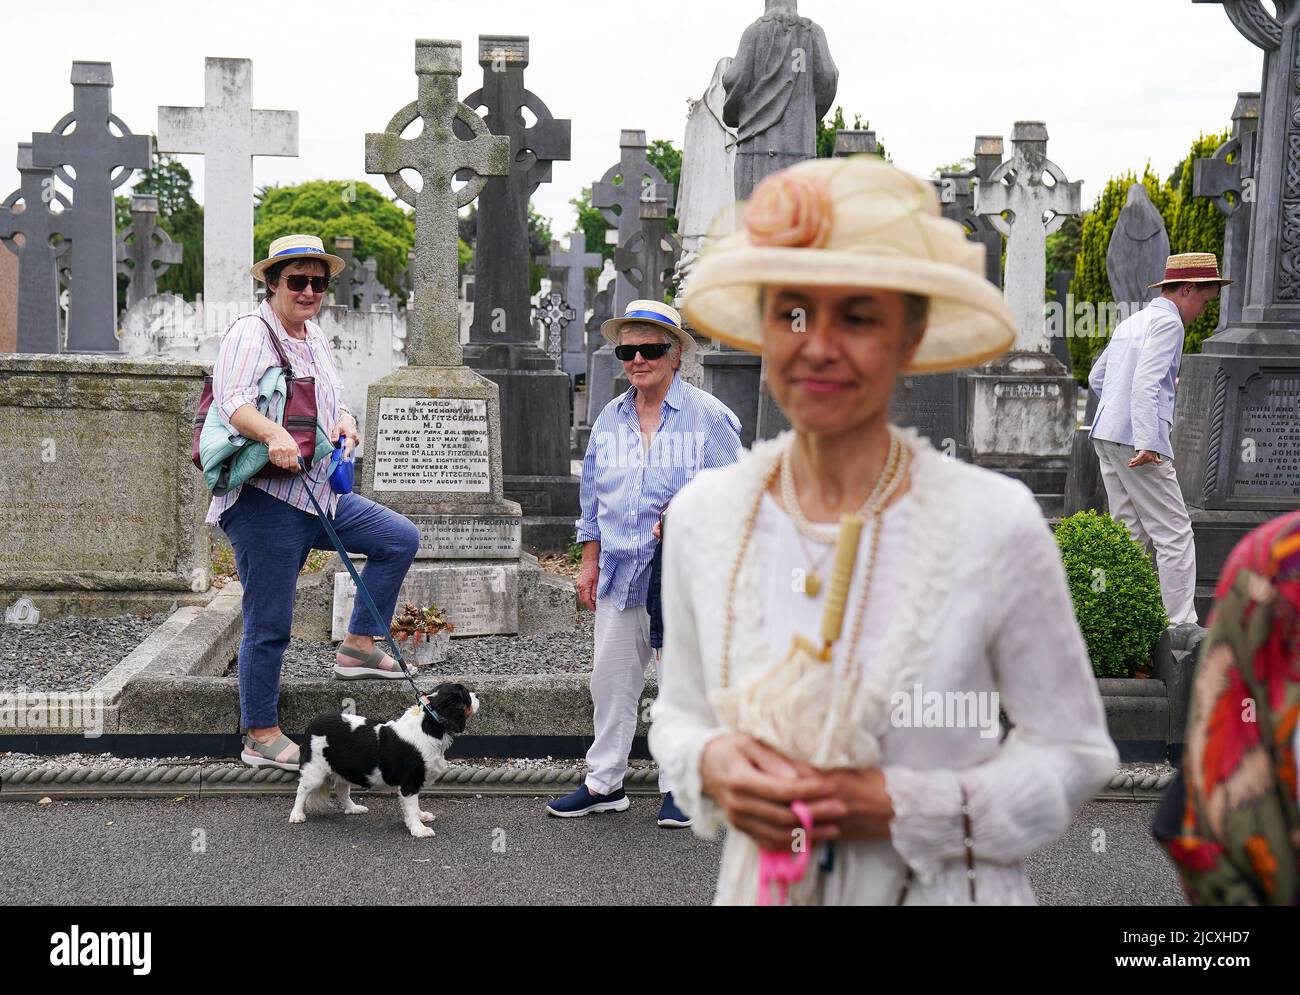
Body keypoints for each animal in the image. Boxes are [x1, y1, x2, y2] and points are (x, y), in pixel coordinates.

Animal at [287, 681, 480, 832]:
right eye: (466, 696)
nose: (477, 694)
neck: (429, 724)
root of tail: (312, 725)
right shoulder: (410, 782)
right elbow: (412, 806)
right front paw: (419, 829)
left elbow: (415, 805)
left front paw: (421, 817)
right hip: (314, 770)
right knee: (302, 791)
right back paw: (296, 815)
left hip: (343, 770)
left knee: (342, 791)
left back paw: (353, 808)